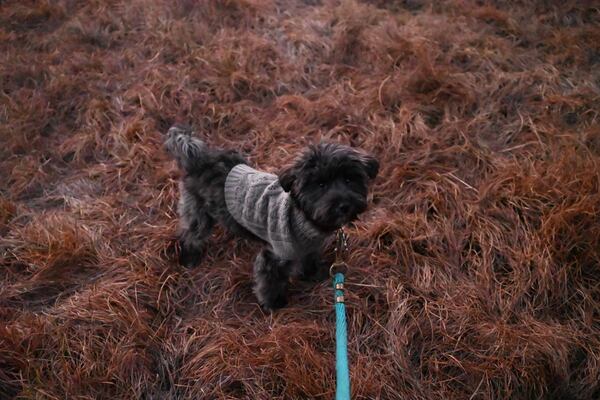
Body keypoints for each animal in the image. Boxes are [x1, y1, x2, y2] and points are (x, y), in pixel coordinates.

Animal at [164, 126, 380, 310]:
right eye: (320, 185)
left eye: (349, 179)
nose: (344, 205)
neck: (301, 217)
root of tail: (199, 158)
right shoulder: (273, 255)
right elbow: (269, 280)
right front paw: (273, 303)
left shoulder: (308, 247)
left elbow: (308, 259)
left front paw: (312, 274)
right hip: (198, 212)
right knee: (191, 234)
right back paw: (189, 258)